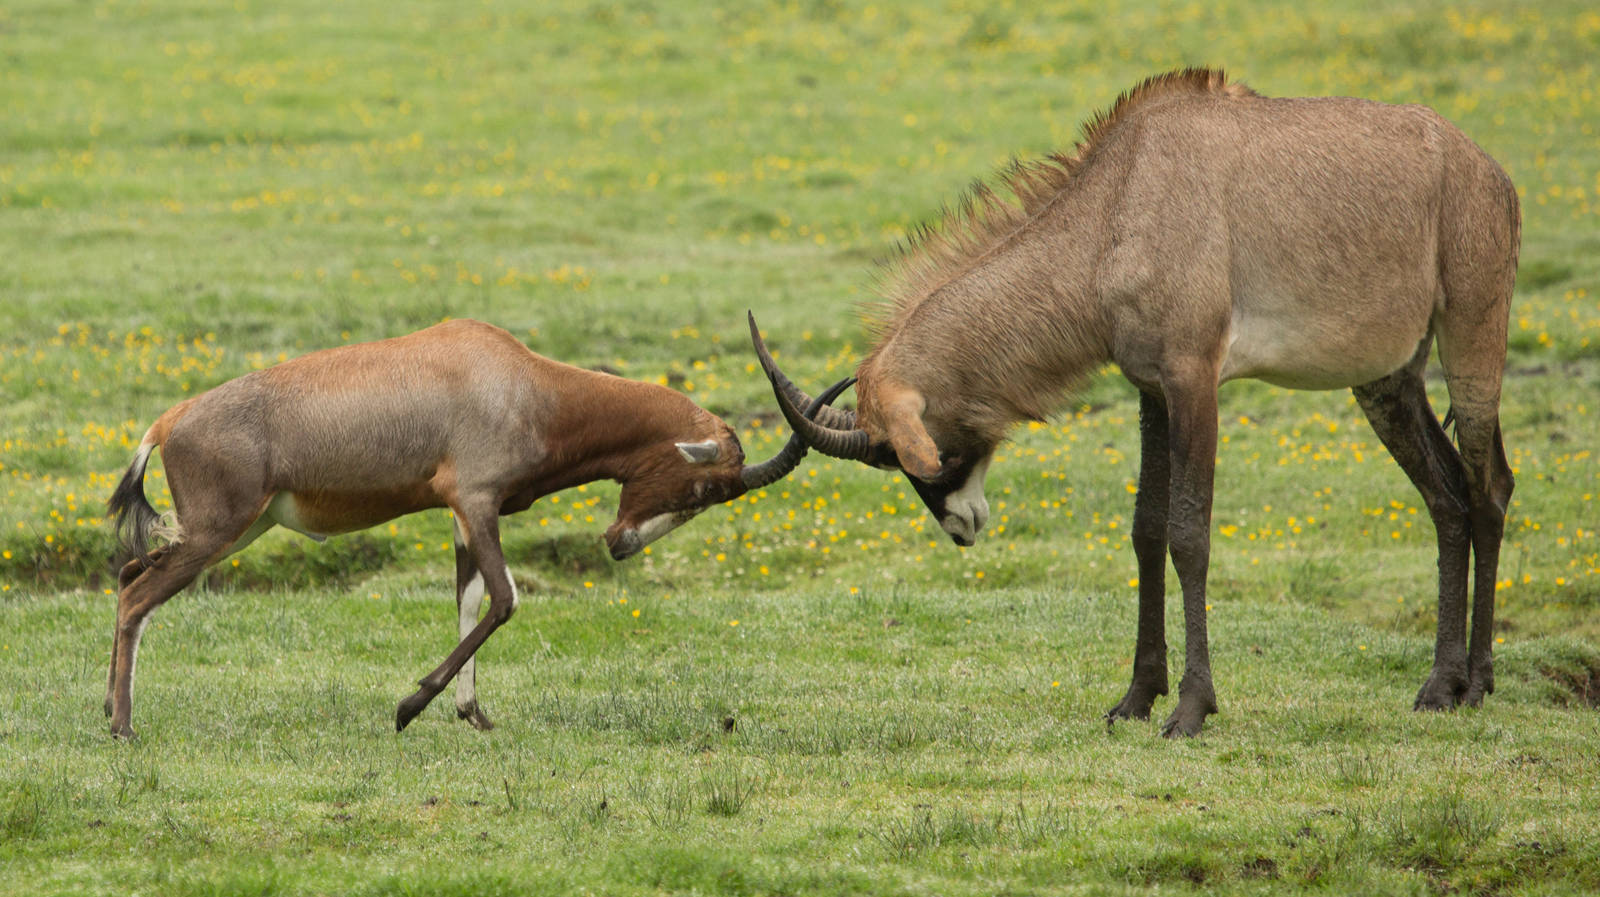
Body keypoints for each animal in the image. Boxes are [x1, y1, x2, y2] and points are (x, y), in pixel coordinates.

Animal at [104, 318, 848, 739]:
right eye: (703, 487)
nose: (619, 545)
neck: (523, 380)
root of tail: (167, 422)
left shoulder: (462, 516)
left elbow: (468, 600)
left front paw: (472, 714)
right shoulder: (477, 501)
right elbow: (504, 598)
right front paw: (408, 707)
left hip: (239, 529)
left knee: (129, 574)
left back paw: (111, 715)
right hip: (216, 533)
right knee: (136, 596)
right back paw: (123, 728)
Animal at [752, 68, 1519, 736]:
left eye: (894, 452)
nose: (961, 527)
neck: (1118, 204)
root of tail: (1486, 170)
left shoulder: (1194, 380)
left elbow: (1189, 535)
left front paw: (1191, 709)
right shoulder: (1150, 388)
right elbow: (1146, 531)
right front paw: (1136, 698)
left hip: (1472, 334)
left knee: (1488, 486)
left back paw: (1476, 684)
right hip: (1388, 379)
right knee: (1447, 496)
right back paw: (1440, 684)